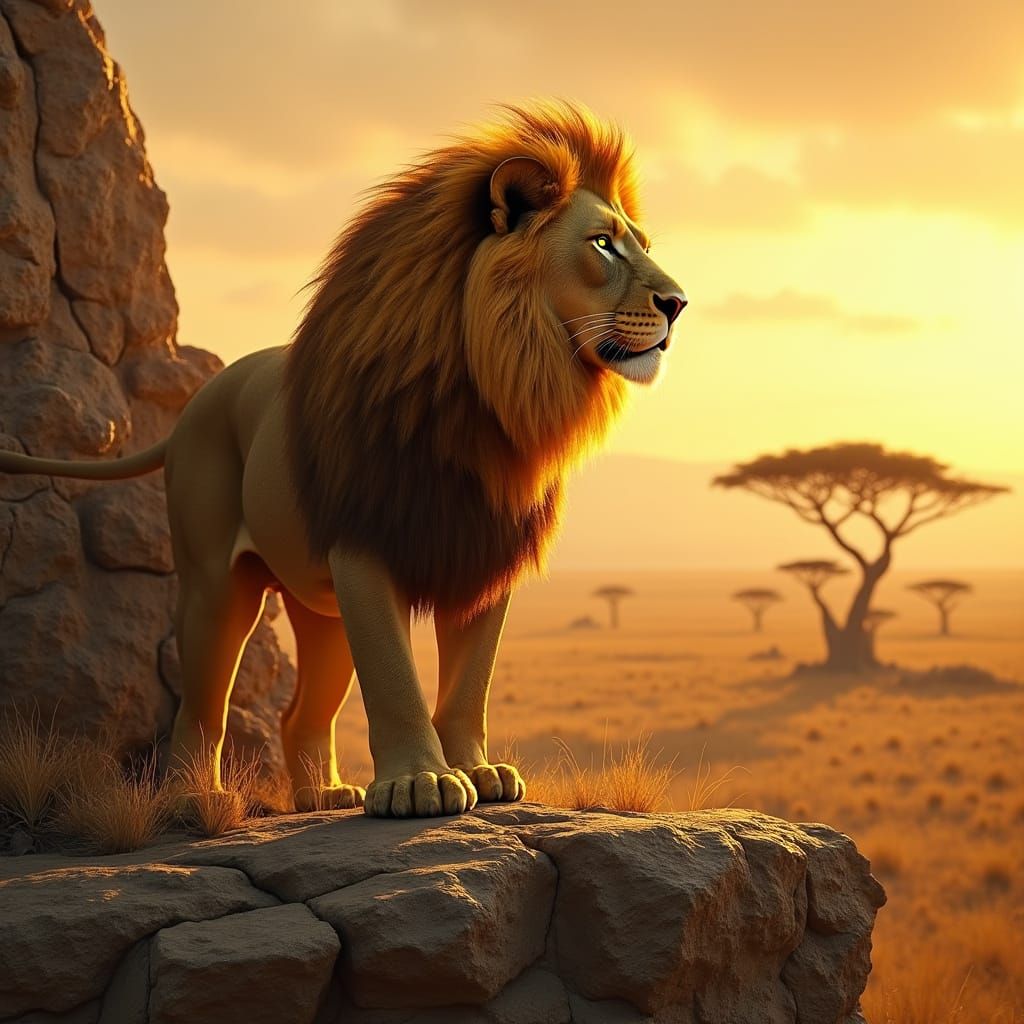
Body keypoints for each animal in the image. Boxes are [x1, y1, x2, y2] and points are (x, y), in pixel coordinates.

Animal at [0, 102, 686, 817]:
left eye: (641, 243)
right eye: (603, 244)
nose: (679, 303)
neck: (489, 398)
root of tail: (199, 399)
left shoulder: (482, 552)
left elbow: (471, 680)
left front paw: (479, 771)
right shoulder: (365, 543)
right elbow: (393, 675)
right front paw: (421, 783)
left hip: (320, 609)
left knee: (297, 714)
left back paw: (323, 795)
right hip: (217, 583)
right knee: (202, 702)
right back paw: (195, 799)